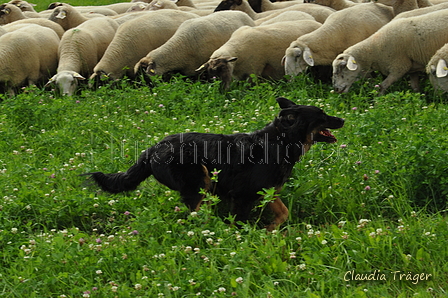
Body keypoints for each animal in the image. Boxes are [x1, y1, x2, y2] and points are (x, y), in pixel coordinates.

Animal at [85, 96, 344, 229]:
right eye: (322, 115)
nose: (342, 119)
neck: (282, 140)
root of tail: (151, 149)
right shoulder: (243, 195)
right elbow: (241, 221)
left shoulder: (268, 191)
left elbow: (284, 213)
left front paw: (271, 231)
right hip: (199, 180)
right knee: (197, 214)